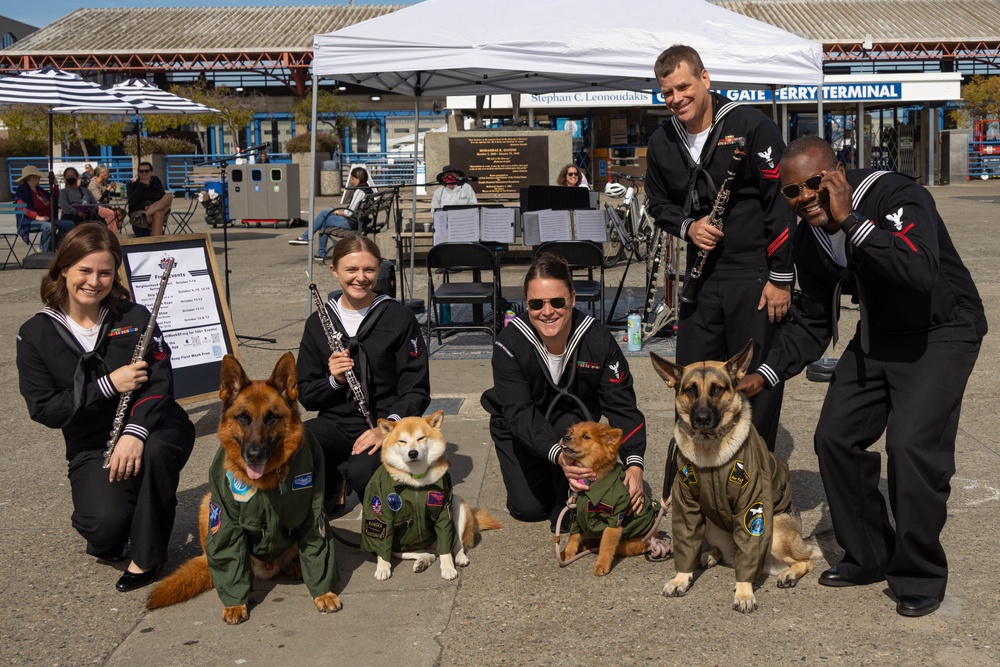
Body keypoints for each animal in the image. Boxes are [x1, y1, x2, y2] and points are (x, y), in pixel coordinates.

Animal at [144, 354, 340, 628]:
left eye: (271, 417)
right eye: (243, 418)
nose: (254, 454)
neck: (270, 479)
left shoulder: (315, 516)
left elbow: (318, 553)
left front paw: (323, 592)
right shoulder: (223, 519)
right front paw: (235, 603)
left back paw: (295, 566)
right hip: (206, 505)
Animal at [560, 426, 660, 576]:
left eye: (585, 436)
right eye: (571, 432)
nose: (565, 437)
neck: (592, 482)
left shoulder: (615, 518)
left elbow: (606, 545)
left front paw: (602, 564)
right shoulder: (578, 513)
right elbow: (574, 535)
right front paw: (567, 553)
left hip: (627, 544)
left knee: (608, 545)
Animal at [648, 342, 820, 612]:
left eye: (717, 389)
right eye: (690, 390)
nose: (702, 419)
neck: (710, 448)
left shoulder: (753, 507)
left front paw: (744, 593)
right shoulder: (686, 507)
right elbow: (685, 545)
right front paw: (680, 579)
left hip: (776, 532)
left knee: (805, 559)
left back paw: (789, 574)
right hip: (711, 525)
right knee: (727, 554)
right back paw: (709, 555)